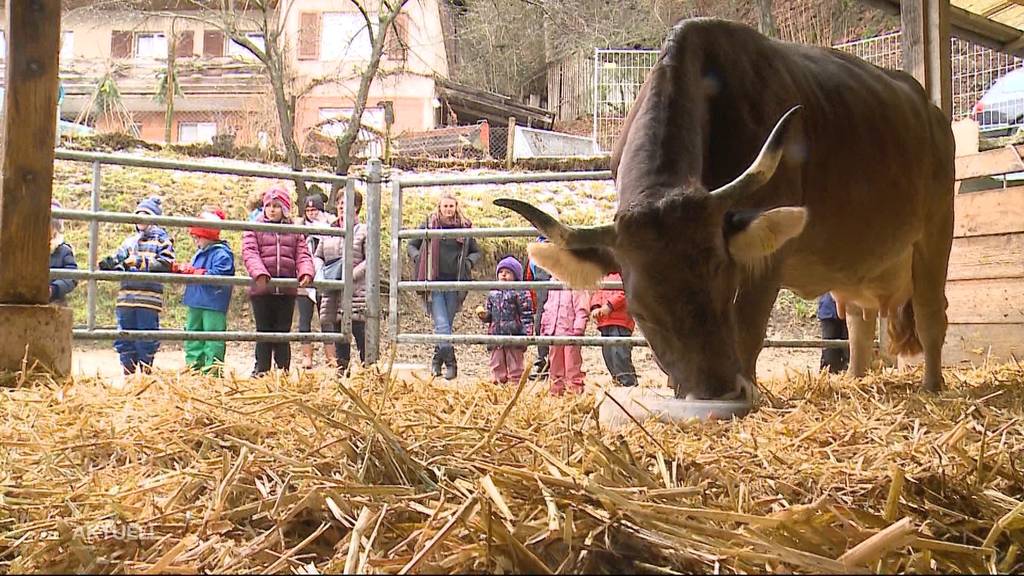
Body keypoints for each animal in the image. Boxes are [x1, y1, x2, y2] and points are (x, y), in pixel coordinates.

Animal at [499, 19, 954, 403]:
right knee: (859, 323)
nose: (715, 391)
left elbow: (748, 329)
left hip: (936, 230)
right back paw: (857, 379)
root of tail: (927, 107)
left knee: (931, 314)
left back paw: (933, 387)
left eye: (724, 279)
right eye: (640, 310)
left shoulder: (764, 260)